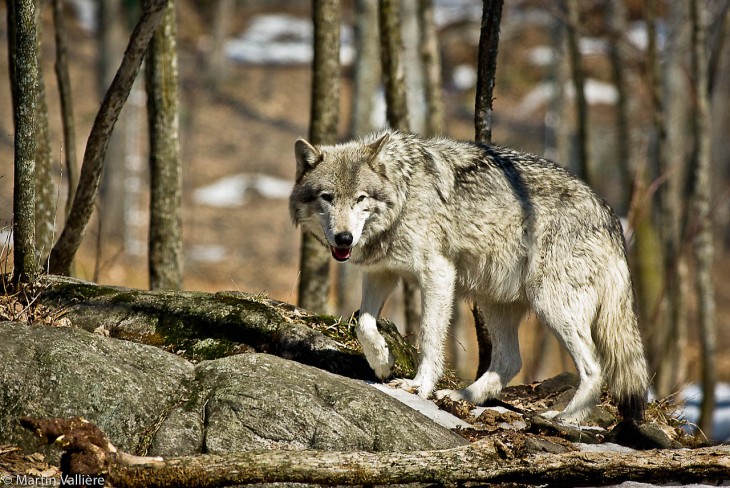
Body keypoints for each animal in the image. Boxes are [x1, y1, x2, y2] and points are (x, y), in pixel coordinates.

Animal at [288, 130, 648, 424]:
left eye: (360, 198)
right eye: (327, 197)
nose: (344, 239)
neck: (403, 193)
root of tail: (610, 217)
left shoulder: (437, 274)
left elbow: (429, 336)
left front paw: (418, 386)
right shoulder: (381, 273)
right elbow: (363, 323)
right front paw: (381, 362)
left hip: (551, 305)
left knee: (594, 369)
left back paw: (565, 418)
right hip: (494, 303)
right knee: (510, 361)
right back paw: (462, 397)